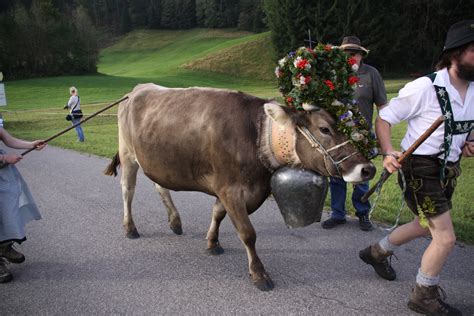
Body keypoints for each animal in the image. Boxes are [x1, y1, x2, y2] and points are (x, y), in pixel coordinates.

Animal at [105, 82, 376, 290]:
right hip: (128, 154)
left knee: (160, 186)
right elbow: (247, 233)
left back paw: (175, 221)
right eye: (324, 129)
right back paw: (130, 227)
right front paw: (259, 274)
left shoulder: (233, 189)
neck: (257, 137)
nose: (368, 169)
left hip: (156, 160)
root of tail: (137, 89)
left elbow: (218, 214)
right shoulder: (230, 188)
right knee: (127, 190)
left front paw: (212, 243)